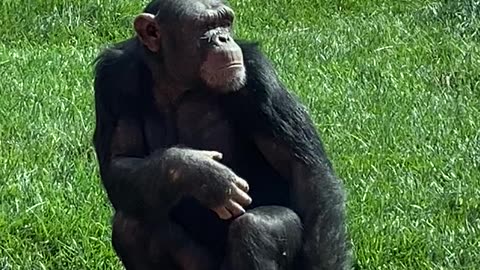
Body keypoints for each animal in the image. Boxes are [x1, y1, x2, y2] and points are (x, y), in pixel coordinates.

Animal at [93, 0, 348, 268]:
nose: (224, 38)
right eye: (206, 25)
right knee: (131, 225)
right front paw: (198, 172)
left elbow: (305, 173)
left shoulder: (258, 77)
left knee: (256, 228)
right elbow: (119, 162)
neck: (177, 84)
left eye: (225, 23)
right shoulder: (113, 78)